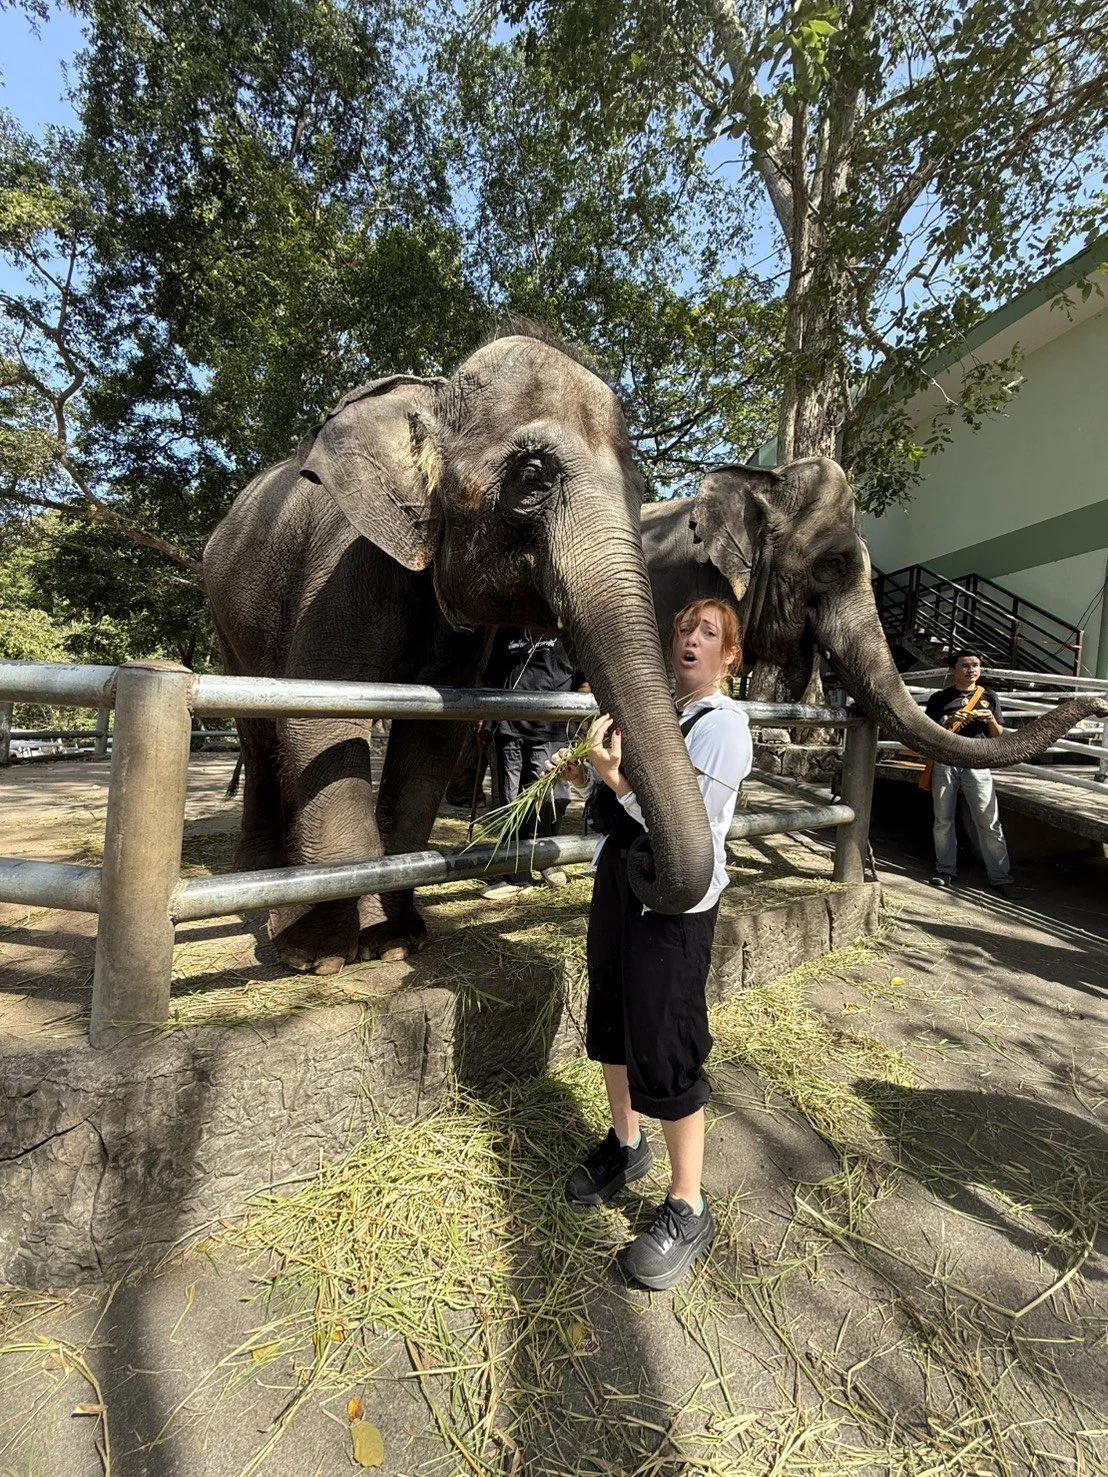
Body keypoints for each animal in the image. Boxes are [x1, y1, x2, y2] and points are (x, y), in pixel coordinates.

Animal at [203, 328, 715, 975]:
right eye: (532, 474)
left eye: (640, 490)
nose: (640, 854)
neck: (435, 394)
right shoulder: (343, 565)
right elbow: (322, 719)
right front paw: (314, 954)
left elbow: (432, 738)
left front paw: (395, 941)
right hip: (227, 620)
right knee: (258, 728)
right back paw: (254, 873)